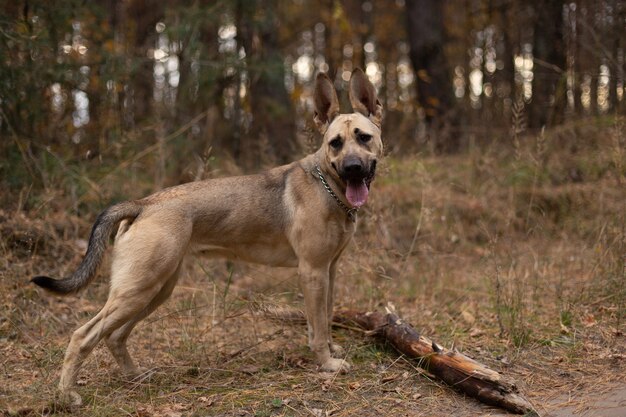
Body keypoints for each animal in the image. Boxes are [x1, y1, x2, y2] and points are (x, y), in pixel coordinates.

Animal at [34, 67, 382, 404]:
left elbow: (324, 318)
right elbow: (319, 327)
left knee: (115, 336)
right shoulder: (312, 271)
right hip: (138, 289)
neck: (328, 184)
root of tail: (142, 204)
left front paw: (331, 351)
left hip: (155, 290)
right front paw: (327, 364)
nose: (353, 167)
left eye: (364, 138)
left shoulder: (328, 271)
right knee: (83, 335)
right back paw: (66, 395)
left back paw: (135, 376)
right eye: (335, 143)